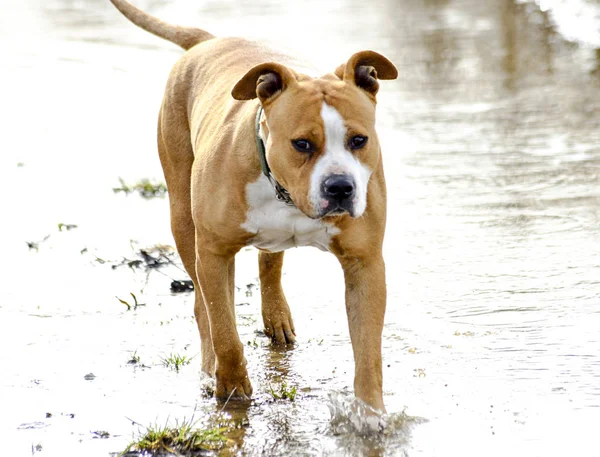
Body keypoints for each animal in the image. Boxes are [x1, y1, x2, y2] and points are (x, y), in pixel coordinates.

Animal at [109, 0, 398, 412]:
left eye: (359, 140)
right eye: (301, 144)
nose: (341, 187)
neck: (285, 194)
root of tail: (207, 41)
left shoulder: (365, 261)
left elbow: (368, 349)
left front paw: (370, 413)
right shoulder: (214, 252)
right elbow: (224, 329)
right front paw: (232, 389)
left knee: (269, 261)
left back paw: (276, 317)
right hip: (182, 218)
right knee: (203, 308)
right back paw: (209, 366)